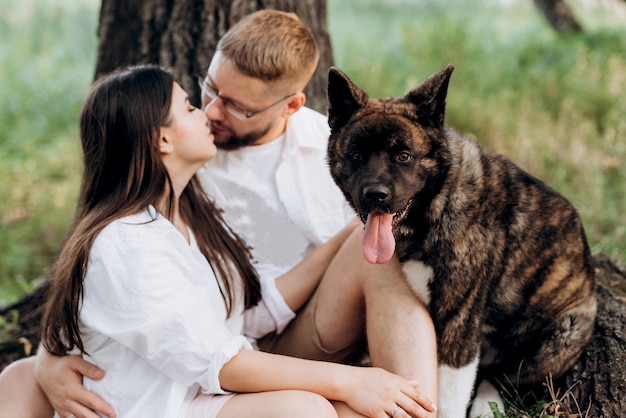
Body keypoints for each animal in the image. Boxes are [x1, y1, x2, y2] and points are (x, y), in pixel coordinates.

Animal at [326, 63, 596, 416]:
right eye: (356, 155)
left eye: (403, 156)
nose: (375, 195)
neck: (439, 202)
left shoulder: (459, 321)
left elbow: (450, 398)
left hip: (561, 338)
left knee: (500, 375)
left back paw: (486, 405)